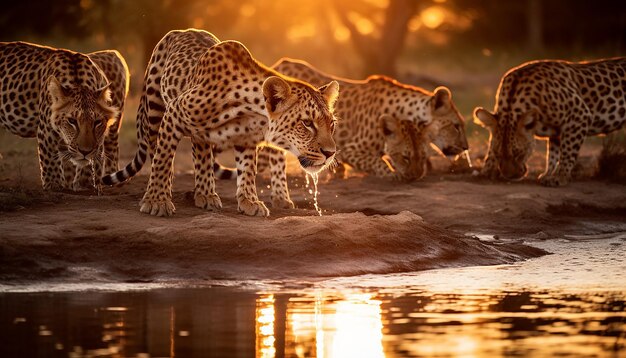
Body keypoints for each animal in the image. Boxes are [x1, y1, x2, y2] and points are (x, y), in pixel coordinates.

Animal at [0, 41, 120, 190]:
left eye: (97, 122)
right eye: (72, 121)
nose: (85, 152)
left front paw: (85, 183)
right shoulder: (45, 131)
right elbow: (50, 160)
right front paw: (54, 185)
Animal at [102, 30, 336, 215]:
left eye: (331, 123)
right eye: (307, 123)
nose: (330, 153)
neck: (252, 113)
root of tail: (180, 31)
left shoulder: (246, 139)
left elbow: (247, 168)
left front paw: (249, 201)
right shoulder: (174, 112)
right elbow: (163, 158)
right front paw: (156, 201)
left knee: (202, 155)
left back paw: (204, 194)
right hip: (154, 107)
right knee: (156, 150)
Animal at [472, 57, 624, 186]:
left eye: (518, 153)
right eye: (498, 154)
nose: (509, 176)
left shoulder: (579, 115)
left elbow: (567, 151)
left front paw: (560, 177)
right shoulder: (556, 131)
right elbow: (553, 153)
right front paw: (486, 170)